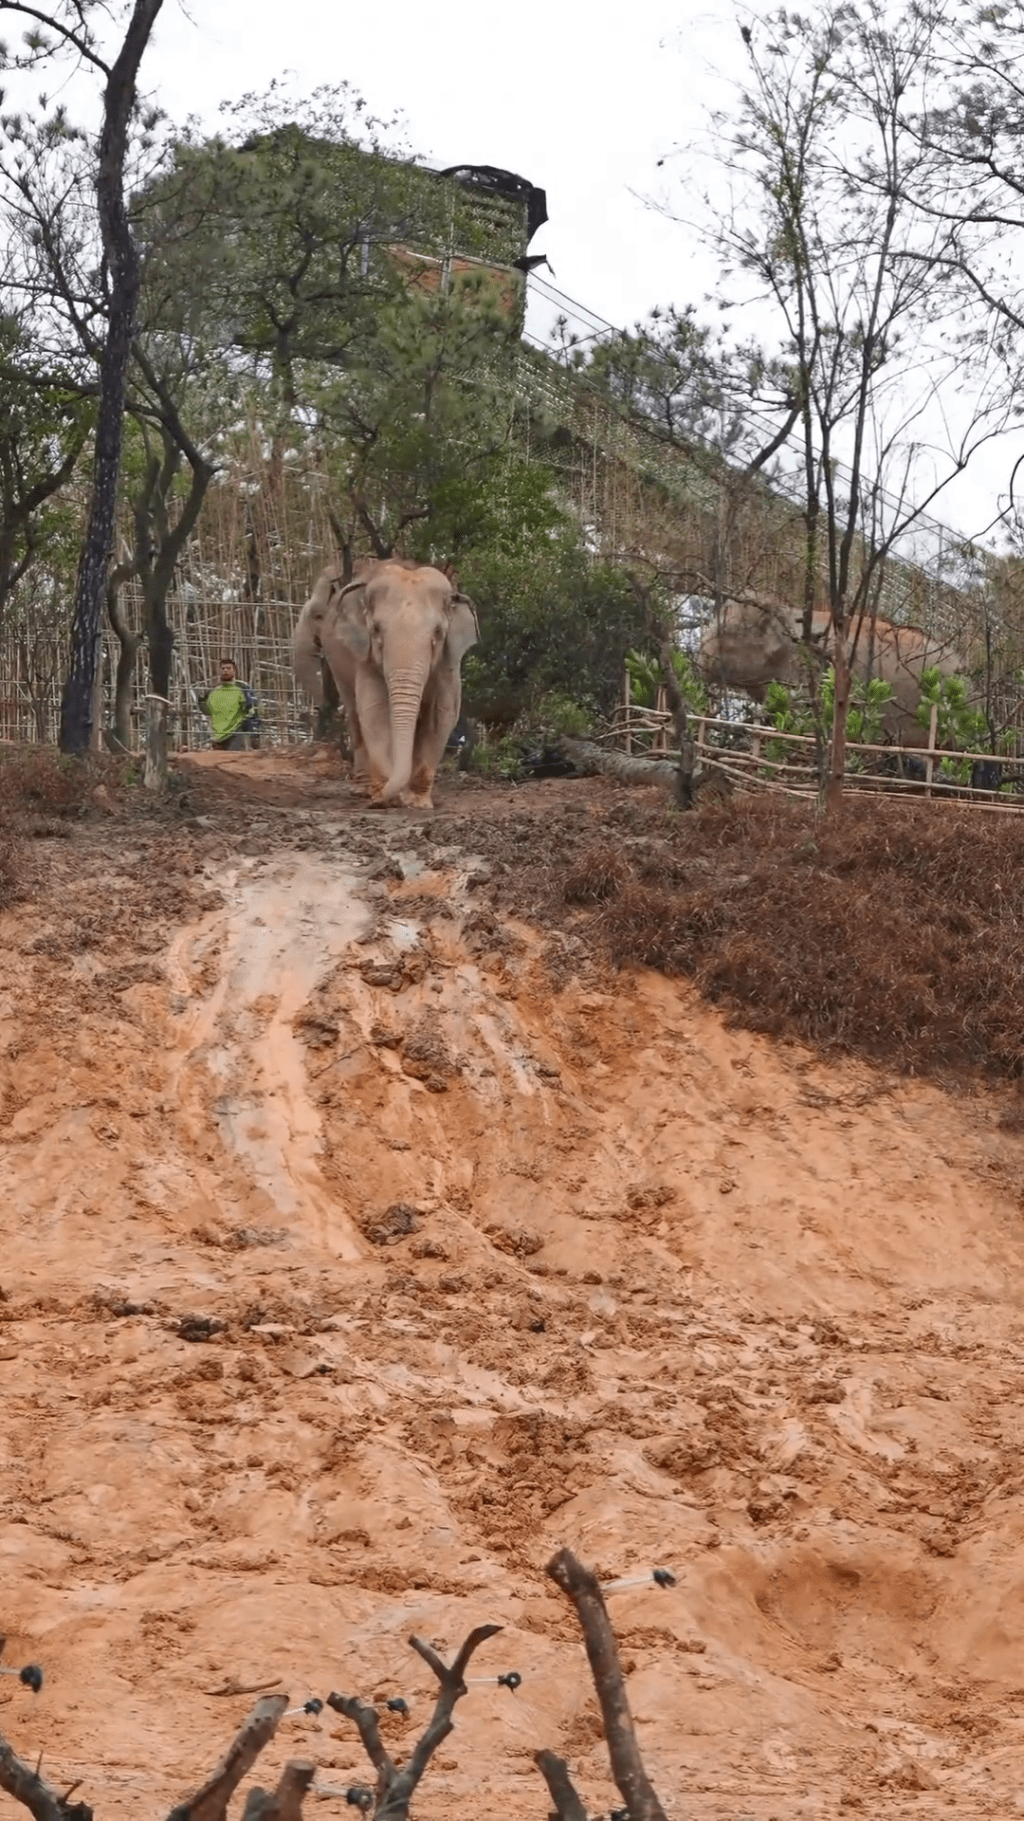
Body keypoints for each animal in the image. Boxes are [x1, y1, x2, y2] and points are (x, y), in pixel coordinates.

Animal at [289, 557, 477, 808]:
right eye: (376, 629)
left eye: (438, 633)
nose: (376, 802)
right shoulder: (366, 658)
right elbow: (375, 712)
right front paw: (387, 796)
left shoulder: (449, 665)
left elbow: (442, 715)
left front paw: (418, 803)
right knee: (354, 713)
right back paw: (364, 788)